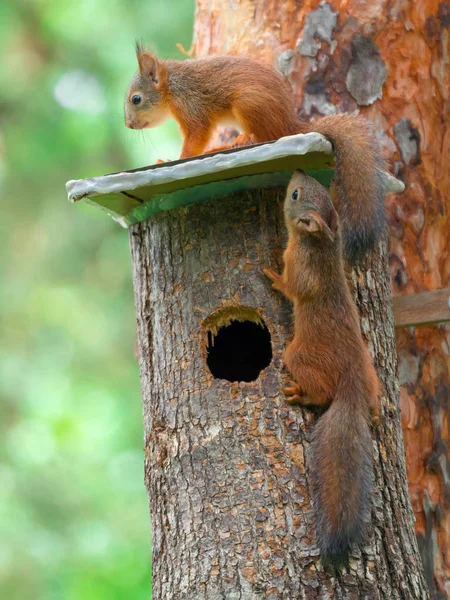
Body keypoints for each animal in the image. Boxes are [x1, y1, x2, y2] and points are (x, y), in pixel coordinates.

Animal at [124, 45, 386, 262]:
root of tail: (291, 126)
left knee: (264, 137)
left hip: (248, 102)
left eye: (136, 99)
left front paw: (174, 160)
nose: (128, 125)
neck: (172, 85)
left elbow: (196, 137)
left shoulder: (192, 108)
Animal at [264, 171, 380, 564]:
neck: (322, 245)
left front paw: (272, 274)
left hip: (297, 357)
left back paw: (301, 395)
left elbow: (291, 288)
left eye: (296, 194)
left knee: (320, 394)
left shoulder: (300, 269)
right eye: (305, 184)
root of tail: (353, 390)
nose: (293, 174)